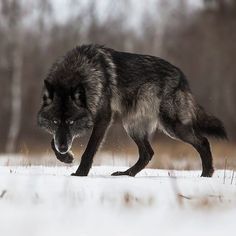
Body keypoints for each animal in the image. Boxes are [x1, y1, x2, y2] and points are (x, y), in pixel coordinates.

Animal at [37, 44, 227, 177]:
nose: (63, 148)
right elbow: (52, 142)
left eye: (71, 122)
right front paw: (66, 157)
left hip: (172, 126)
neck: (78, 71)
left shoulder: (104, 119)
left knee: (203, 141)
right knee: (147, 154)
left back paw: (206, 174)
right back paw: (126, 174)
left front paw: (80, 174)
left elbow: (89, 150)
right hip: (133, 126)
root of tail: (182, 77)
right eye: (55, 121)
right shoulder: (61, 134)